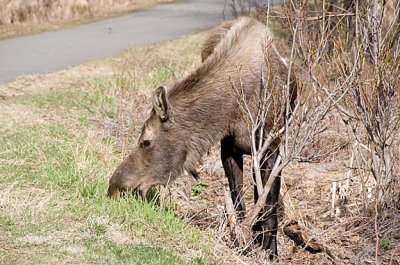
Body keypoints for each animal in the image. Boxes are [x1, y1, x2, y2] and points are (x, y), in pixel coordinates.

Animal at [108, 16, 298, 258]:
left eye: (146, 141)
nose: (114, 186)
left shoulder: (271, 150)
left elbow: (269, 205)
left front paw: (270, 251)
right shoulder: (228, 149)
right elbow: (238, 203)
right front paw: (245, 242)